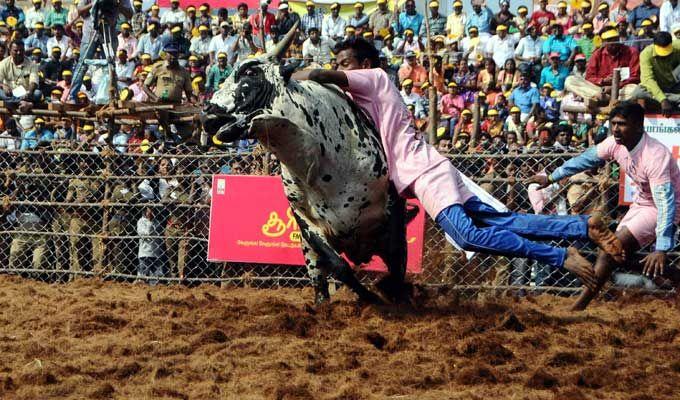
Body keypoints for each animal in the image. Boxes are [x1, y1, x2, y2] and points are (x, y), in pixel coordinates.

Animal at [201, 25, 414, 304]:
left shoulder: (393, 218)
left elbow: (397, 274)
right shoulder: (307, 224)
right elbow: (339, 267)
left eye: (250, 72)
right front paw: (370, 298)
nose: (208, 114)